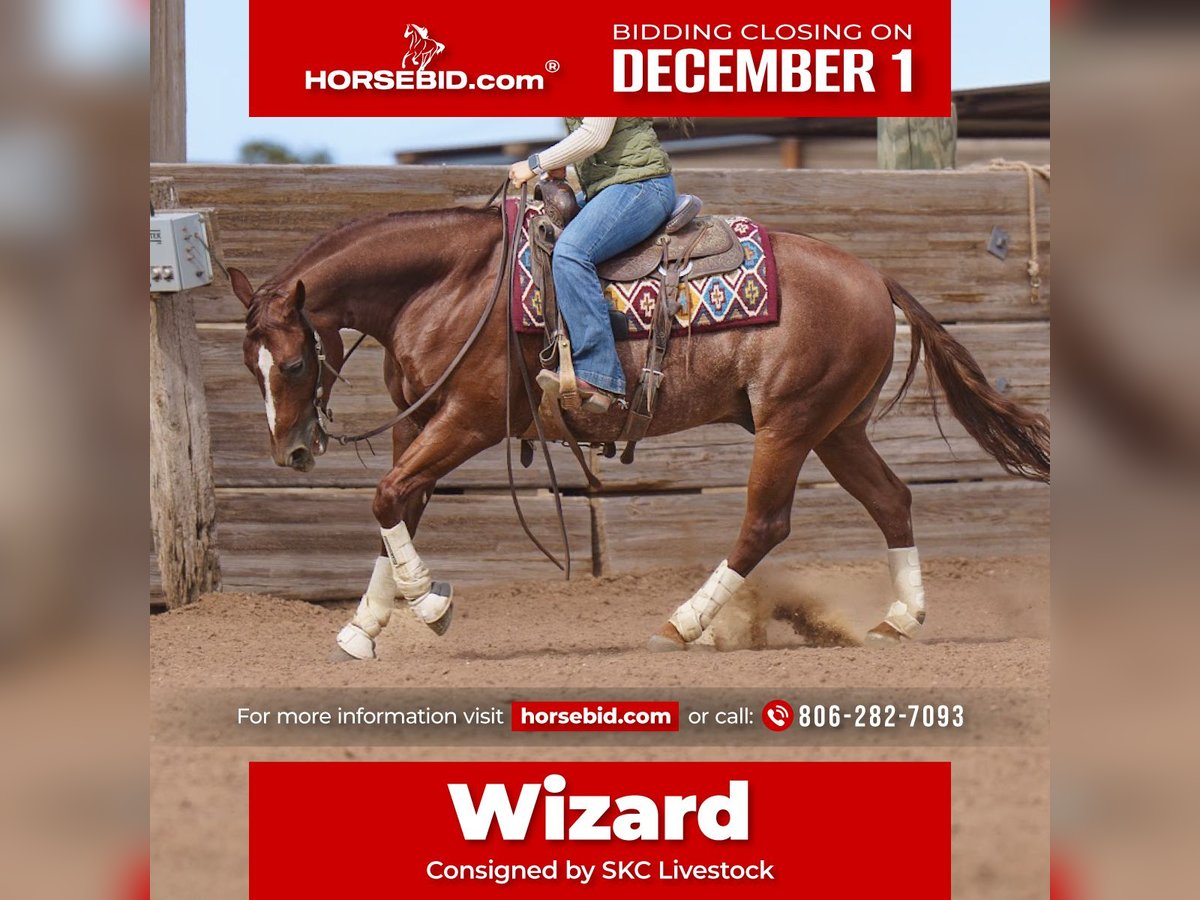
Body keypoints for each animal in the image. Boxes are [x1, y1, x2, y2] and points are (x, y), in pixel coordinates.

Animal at [227, 192, 1050, 661]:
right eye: (250, 364)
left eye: (294, 363)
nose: (292, 452)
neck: (449, 286)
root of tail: (876, 277)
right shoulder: (419, 424)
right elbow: (396, 505)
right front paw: (363, 628)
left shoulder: (468, 420)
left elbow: (387, 497)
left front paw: (430, 606)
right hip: (837, 428)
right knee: (892, 501)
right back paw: (900, 620)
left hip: (791, 424)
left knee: (765, 524)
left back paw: (683, 625)